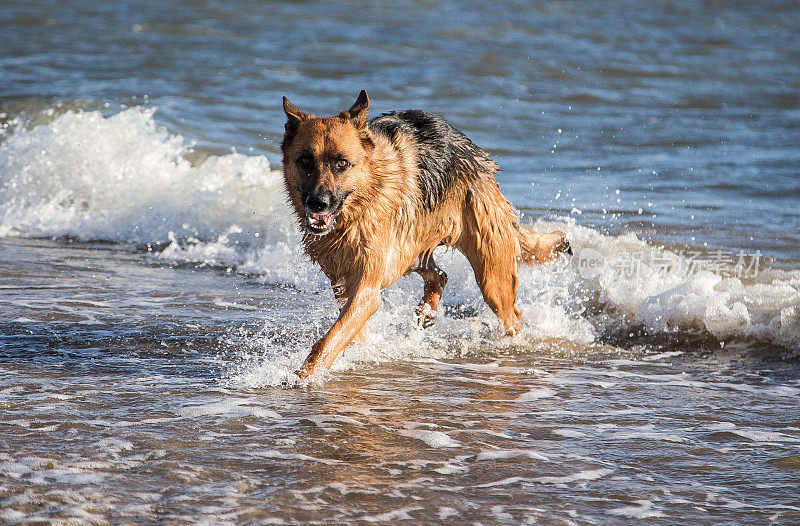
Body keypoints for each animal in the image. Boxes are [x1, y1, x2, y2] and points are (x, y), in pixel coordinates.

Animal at [282, 92, 568, 380]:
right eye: (305, 161)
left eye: (342, 163)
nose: (318, 203)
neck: (362, 203)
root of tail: (477, 154)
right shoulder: (342, 283)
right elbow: (347, 331)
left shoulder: (366, 291)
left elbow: (332, 337)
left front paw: (304, 375)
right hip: (412, 252)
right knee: (439, 275)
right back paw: (428, 309)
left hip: (491, 276)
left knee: (512, 315)